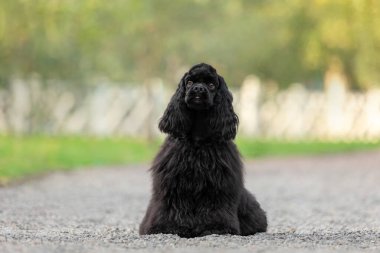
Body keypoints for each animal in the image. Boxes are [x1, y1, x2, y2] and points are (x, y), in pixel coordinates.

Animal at [140, 63, 268, 237]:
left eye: (211, 85)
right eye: (189, 82)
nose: (198, 89)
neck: (197, 139)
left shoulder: (219, 185)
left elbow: (215, 208)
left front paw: (216, 227)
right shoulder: (172, 184)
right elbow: (172, 207)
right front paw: (168, 227)